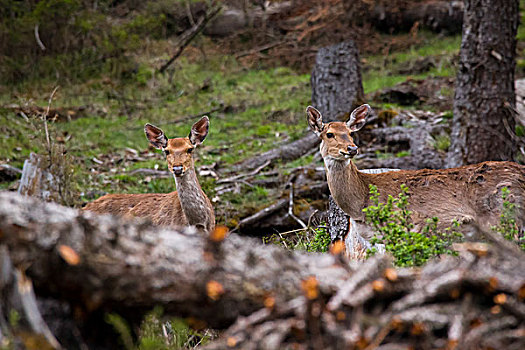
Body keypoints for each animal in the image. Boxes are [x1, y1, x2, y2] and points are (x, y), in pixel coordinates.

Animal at [304, 103, 524, 246]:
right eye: (329, 134)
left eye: (351, 133)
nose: (352, 148)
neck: (361, 206)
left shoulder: (402, 226)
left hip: (503, 214)